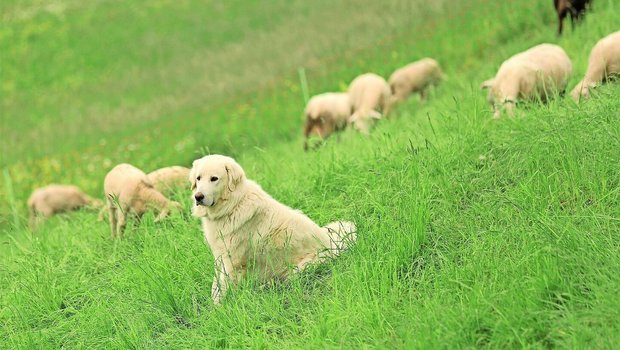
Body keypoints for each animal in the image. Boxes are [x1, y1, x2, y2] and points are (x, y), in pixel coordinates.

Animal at [189, 154, 356, 304]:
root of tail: (333, 244)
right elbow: (215, 285)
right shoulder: (220, 258)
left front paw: (217, 309)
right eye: (198, 178)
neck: (233, 206)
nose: (198, 197)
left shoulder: (231, 261)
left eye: (214, 179)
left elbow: (219, 290)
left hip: (300, 268)